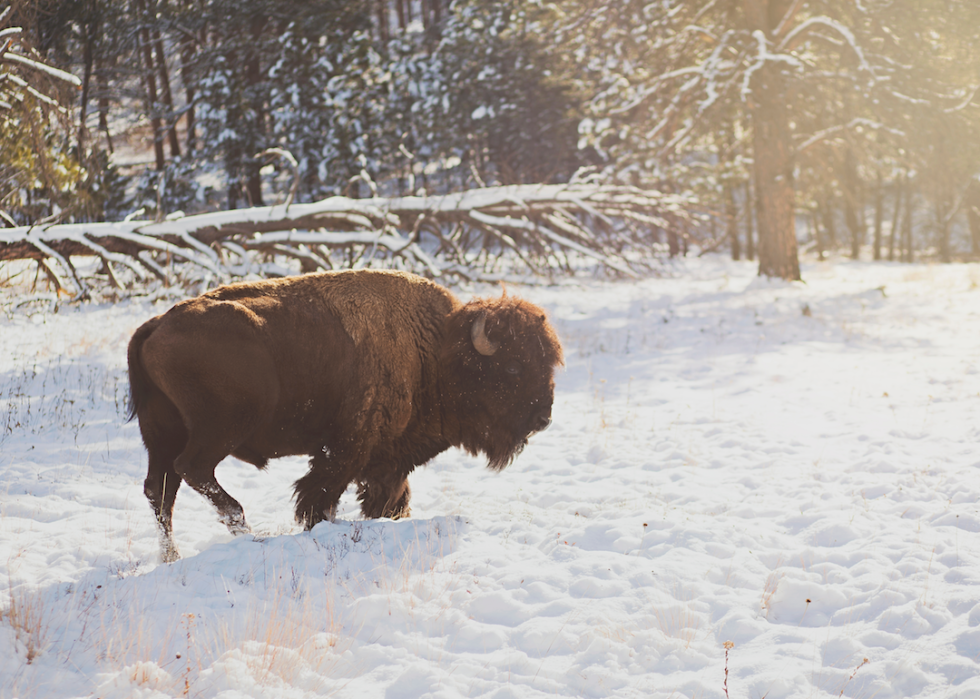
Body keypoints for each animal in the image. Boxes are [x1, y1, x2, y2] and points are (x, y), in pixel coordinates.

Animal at [126, 270, 564, 564]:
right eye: (513, 367)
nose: (543, 417)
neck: (437, 349)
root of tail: (155, 325)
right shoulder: (347, 449)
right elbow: (319, 495)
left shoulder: (386, 458)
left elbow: (387, 497)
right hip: (220, 430)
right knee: (192, 471)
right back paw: (248, 531)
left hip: (160, 434)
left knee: (159, 490)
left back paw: (172, 556)